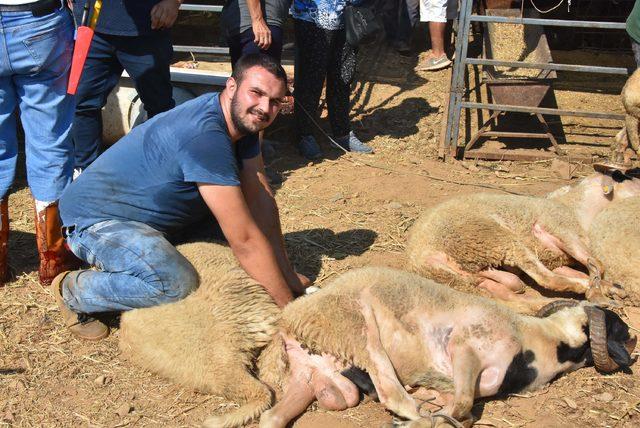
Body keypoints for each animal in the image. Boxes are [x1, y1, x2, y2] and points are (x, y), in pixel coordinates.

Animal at [258, 268, 632, 428]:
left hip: (313, 377)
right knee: (392, 394)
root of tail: (289, 320)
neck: (542, 342)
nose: (635, 340)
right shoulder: (464, 345)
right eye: (619, 326)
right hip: (359, 328)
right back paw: (413, 414)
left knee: (271, 418)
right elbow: (463, 406)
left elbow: (457, 407)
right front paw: (427, 419)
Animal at [404, 172, 640, 312]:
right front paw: (597, 288)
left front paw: (609, 287)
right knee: (546, 279)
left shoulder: (557, 259)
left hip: (460, 279)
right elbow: (596, 263)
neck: (579, 209)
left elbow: (585, 268)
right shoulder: (562, 229)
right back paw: (580, 294)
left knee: (508, 296)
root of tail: (419, 258)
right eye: (624, 179)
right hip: (496, 238)